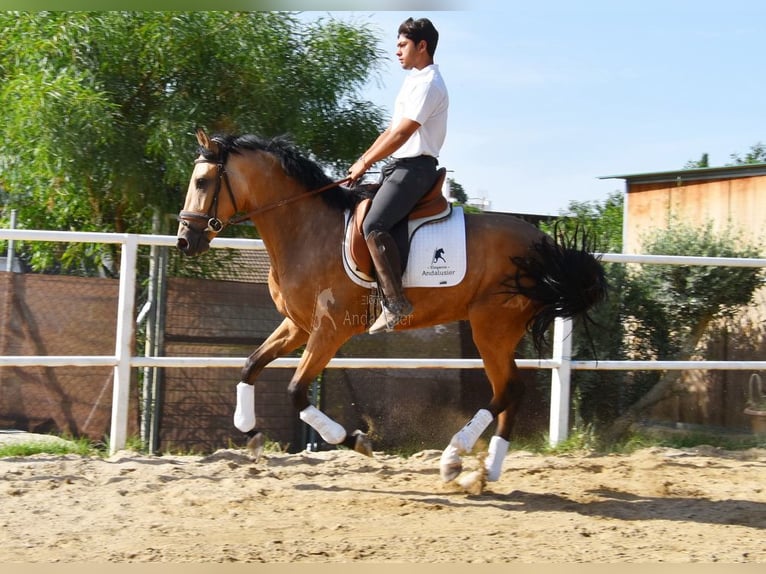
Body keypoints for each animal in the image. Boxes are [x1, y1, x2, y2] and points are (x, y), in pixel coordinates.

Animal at [177, 129, 608, 486]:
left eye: (202, 182)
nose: (184, 240)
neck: (306, 230)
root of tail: (542, 242)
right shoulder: (298, 325)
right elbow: (250, 365)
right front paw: (250, 433)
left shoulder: (330, 329)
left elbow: (297, 391)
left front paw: (353, 439)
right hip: (499, 331)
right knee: (510, 391)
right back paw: (485, 471)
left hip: (491, 327)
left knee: (508, 389)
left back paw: (454, 458)